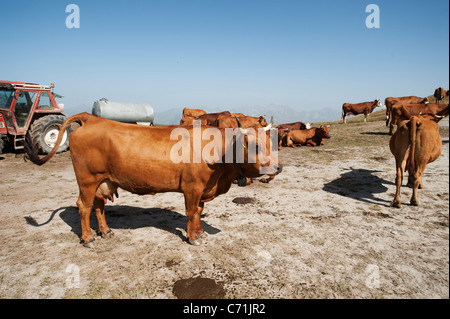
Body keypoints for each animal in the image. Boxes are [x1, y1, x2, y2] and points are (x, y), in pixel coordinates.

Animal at [23, 112, 282, 248]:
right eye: (255, 145)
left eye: (272, 142)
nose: (278, 167)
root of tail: (93, 119)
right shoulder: (192, 187)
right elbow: (191, 213)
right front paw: (192, 237)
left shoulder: (202, 189)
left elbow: (199, 211)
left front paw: (199, 233)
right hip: (87, 180)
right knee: (84, 207)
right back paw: (88, 238)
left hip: (102, 181)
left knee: (98, 206)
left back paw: (105, 231)